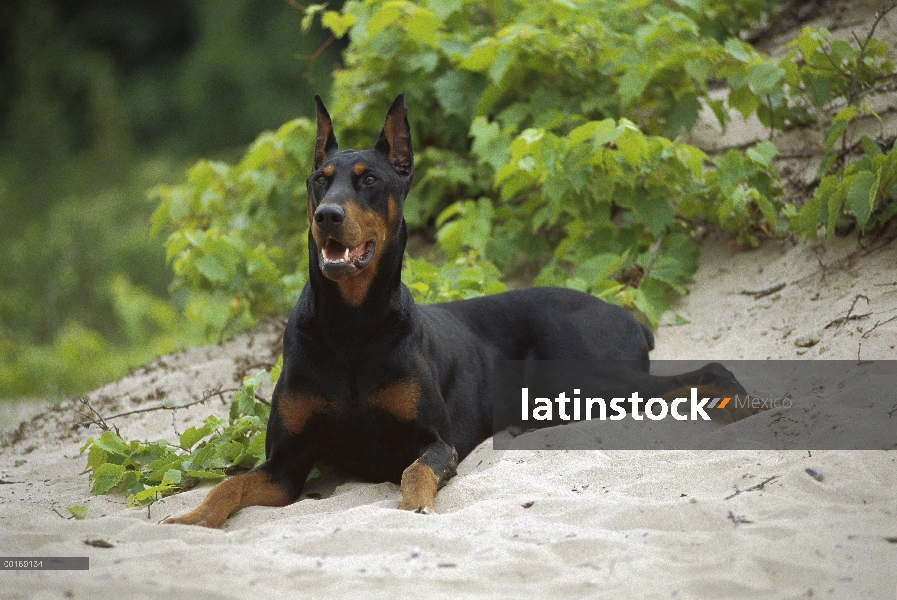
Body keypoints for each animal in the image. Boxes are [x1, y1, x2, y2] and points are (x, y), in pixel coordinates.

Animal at [164, 91, 752, 528]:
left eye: (369, 179)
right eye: (318, 180)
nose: (328, 215)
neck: (351, 326)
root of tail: (624, 314)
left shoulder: (435, 442)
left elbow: (414, 473)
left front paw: (414, 508)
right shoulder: (285, 465)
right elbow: (229, 486)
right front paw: (190, 519)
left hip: (588, 375)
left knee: (702, 373)